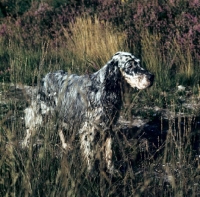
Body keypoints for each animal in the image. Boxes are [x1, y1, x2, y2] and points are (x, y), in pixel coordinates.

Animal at [21, 52, 154, 174]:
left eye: (139, 63)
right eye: (130, 65)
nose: (152, 77)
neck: (105, 89)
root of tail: (47, 76)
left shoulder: (109, 125)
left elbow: (109, 152)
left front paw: (112, 170)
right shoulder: (89, 128)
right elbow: (90, 153)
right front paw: (91, 173)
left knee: (59, 127)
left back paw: (65, 145)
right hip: (39, 113)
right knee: (30, 130)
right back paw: (25, 147)